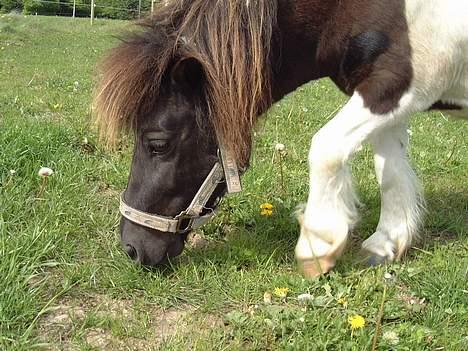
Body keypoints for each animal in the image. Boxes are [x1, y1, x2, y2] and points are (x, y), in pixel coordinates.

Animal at [93, 0, 466, 278]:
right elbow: (390, 172)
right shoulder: (388, 95)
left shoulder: (396, 85)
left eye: (158, 143)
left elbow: (326, 148)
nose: (131, 248)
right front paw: (386, 242)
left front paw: (318, 244)